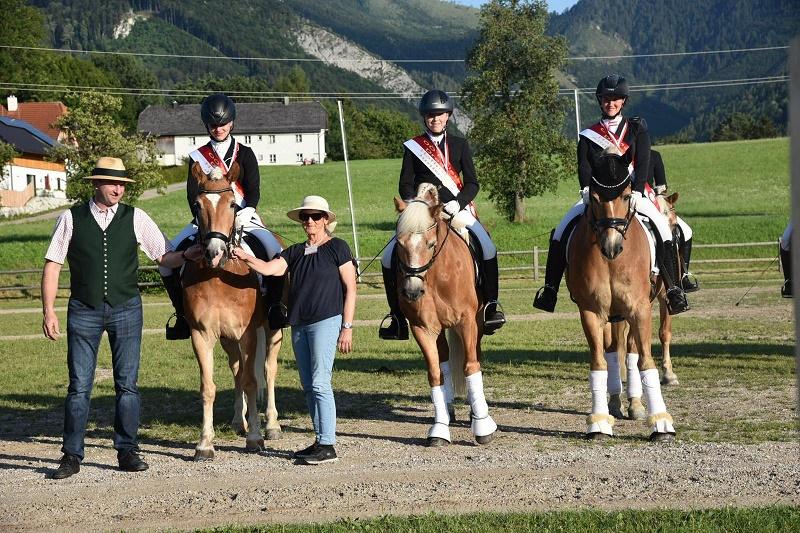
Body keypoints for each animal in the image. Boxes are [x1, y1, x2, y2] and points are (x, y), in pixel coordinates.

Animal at [183, 161, 282, 458]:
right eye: (197, 204)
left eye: (232, 205)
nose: (214, 253)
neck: (219, 276)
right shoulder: (201, 334)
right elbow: (208, 387)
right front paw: (204, 444)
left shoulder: (248, 334)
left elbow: (252, 380)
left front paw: (255, 438)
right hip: (227, 339)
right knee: (237, 369)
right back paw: (240, 420)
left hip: (272, 330)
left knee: (267, 369)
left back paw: (271, 425)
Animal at [392, 183, 496, 444]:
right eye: (400, 244)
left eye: (430, 244)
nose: (412, 291)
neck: (436, 276)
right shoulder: (423, 328)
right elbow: (435, 374)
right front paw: (439, 428)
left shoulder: (467, 322)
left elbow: (470, 366)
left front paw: (482, 426)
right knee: (445, 362)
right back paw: (448, 411)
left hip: (478, 324)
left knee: (475, 357)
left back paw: (475, 413)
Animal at [564, 147, 680, 440]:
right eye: (594, 198)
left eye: (627, 195)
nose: (612, 246)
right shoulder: (592, 312)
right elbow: (599, 362)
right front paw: (598, 422)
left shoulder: (641, 309)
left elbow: (646, 360)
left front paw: (661, 423)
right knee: (614, 350)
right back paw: (616, 403)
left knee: (631, 351)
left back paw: (635, 403)